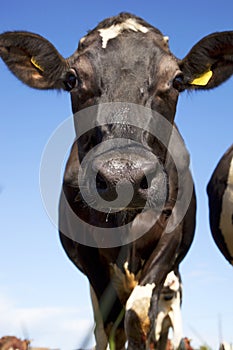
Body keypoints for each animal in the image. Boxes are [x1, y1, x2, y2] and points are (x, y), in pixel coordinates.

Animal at [1, 12, 233, 350]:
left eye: (177, 81)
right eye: (71, 79)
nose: (123, 175)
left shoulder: (170, 238)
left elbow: (138, 317)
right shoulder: (90, 256)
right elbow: (112, 326)